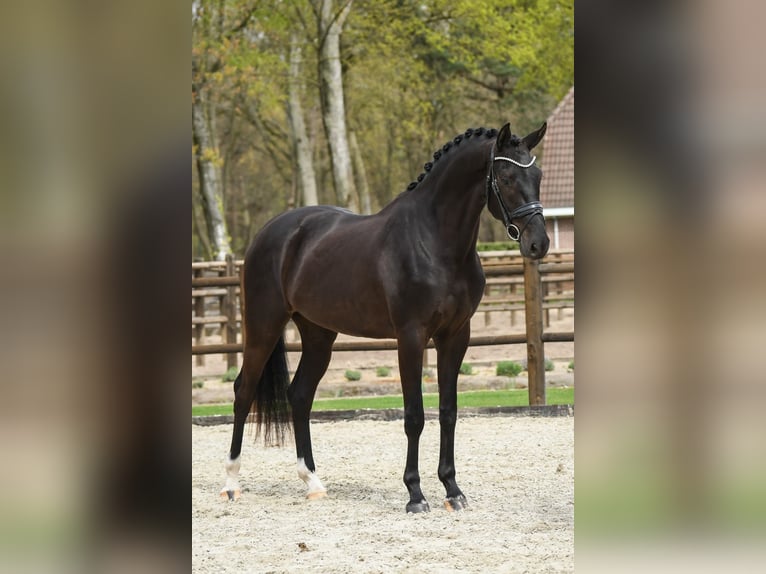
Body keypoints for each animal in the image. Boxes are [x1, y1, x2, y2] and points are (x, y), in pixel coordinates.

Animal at [221, 122, 550, 513]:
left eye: (538, 175)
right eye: (506, 176)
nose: (539, 244)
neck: (434, 242)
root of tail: (270, 232)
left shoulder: (456, 336)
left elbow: (448, 411)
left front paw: (452, 490)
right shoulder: (411, 337)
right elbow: (414, 416)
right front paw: (415, 495)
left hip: (318, 335)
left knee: (299, 394)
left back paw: (313, 482)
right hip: (264, 326)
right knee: (243, 391)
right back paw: (231, 483)